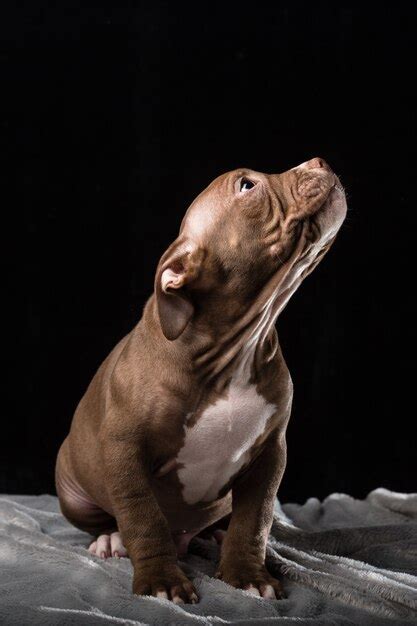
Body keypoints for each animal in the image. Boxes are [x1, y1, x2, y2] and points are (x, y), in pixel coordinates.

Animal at [56, 156, 348, 600]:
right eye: (247, 186)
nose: (321, 160)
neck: (236, 351)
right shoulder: (124, 449)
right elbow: (143, 517)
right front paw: (160, 579)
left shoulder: (270, 452)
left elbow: (255, 519)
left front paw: (248, 574)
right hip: (71, 482)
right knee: (110, 518)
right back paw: (110, 538)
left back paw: (215, 535)